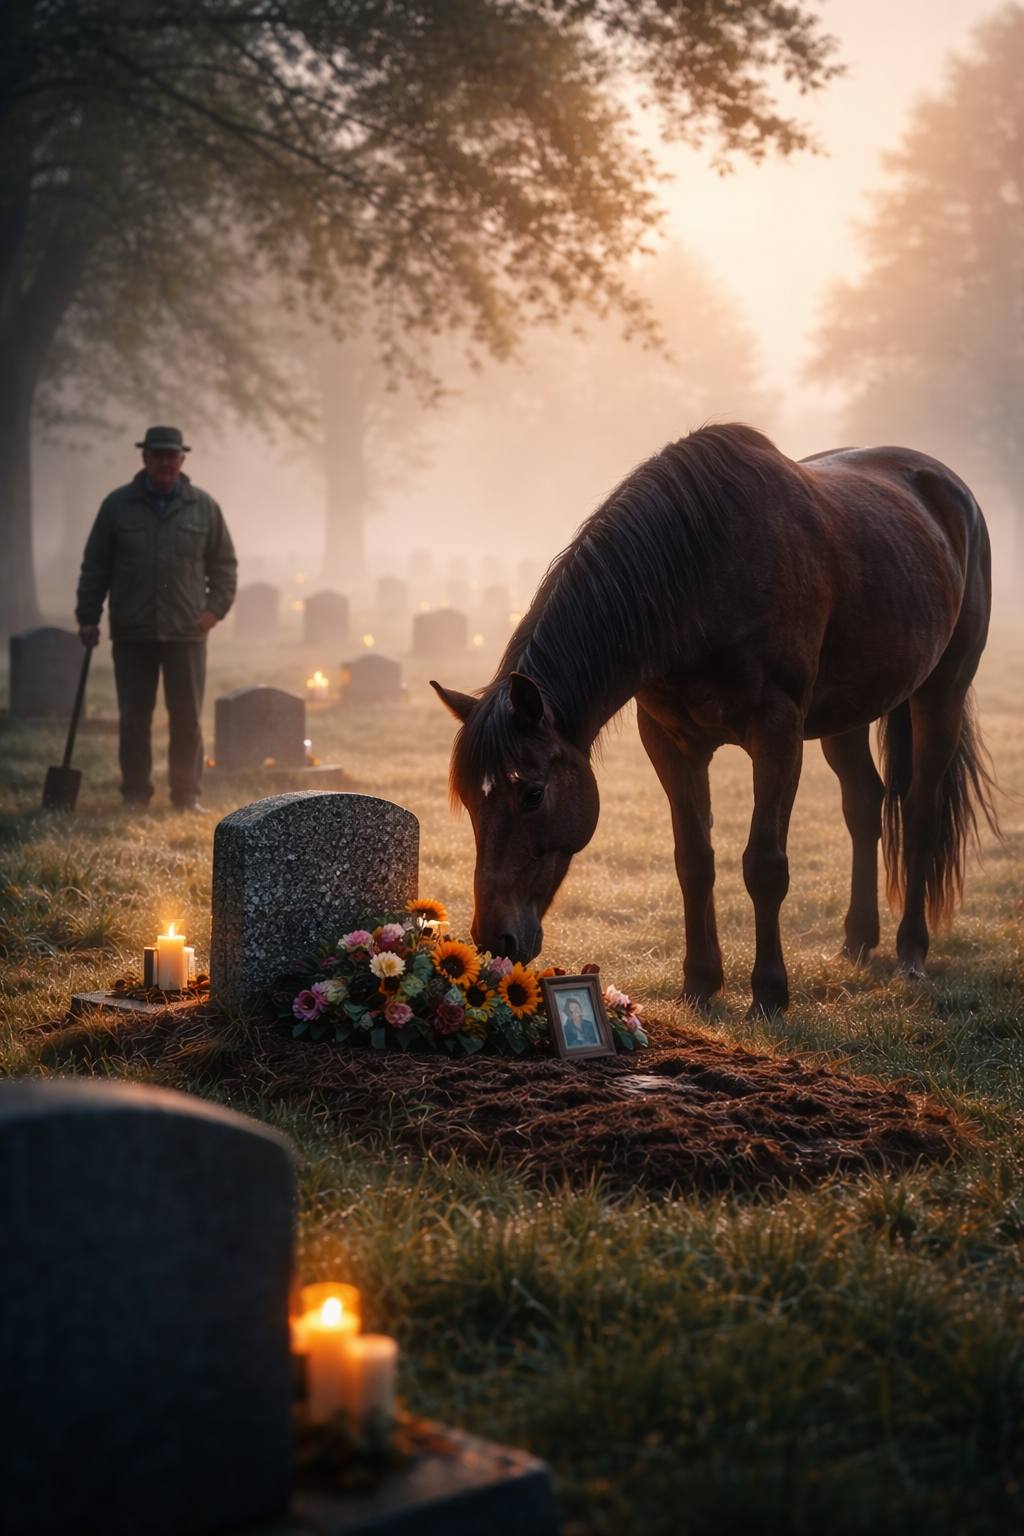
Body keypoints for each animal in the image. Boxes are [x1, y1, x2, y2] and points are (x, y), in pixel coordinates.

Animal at [432, 424, 997, 1016]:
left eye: (533, 794)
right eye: (469, 798)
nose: (495, 938)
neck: (704, 573)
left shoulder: (777, 732)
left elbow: (765, 865)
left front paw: (769, 992)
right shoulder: (670, 741)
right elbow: (694, 860)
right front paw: (700, 983)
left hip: (941, 692)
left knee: (920, 812)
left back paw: (911, 952)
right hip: (850, 713)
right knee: (865, 805)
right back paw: (857, 942)